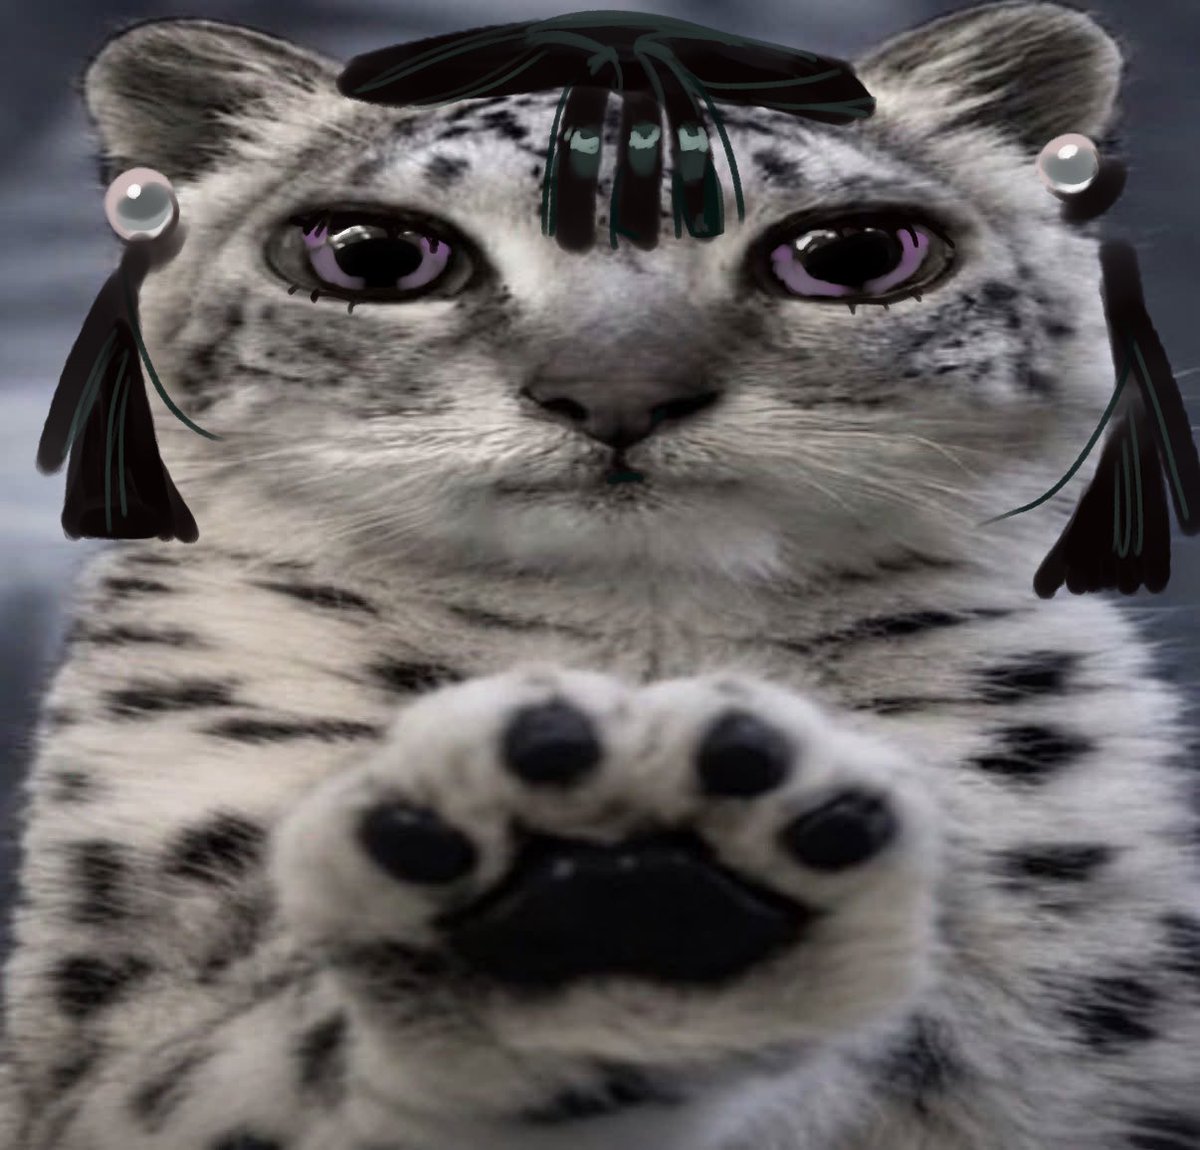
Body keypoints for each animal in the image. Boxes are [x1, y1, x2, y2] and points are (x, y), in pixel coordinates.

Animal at [3, 3, 1199, 1148]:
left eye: (855, 253)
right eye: (373, 254)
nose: (619, 391)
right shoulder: (113, 1015)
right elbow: (235, 1080)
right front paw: (581, 851)